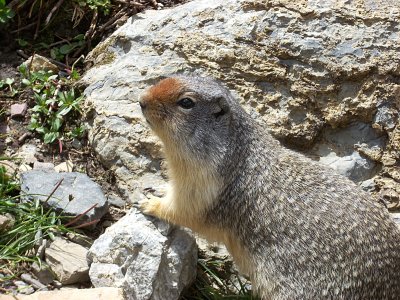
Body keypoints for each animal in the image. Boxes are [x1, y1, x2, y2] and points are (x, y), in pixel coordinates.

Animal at [138, 75, 400, 300]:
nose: (141, 100)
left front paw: (149, 204)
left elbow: (183, 210)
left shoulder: (202, 186)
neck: (234, 150)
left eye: (186, 102)